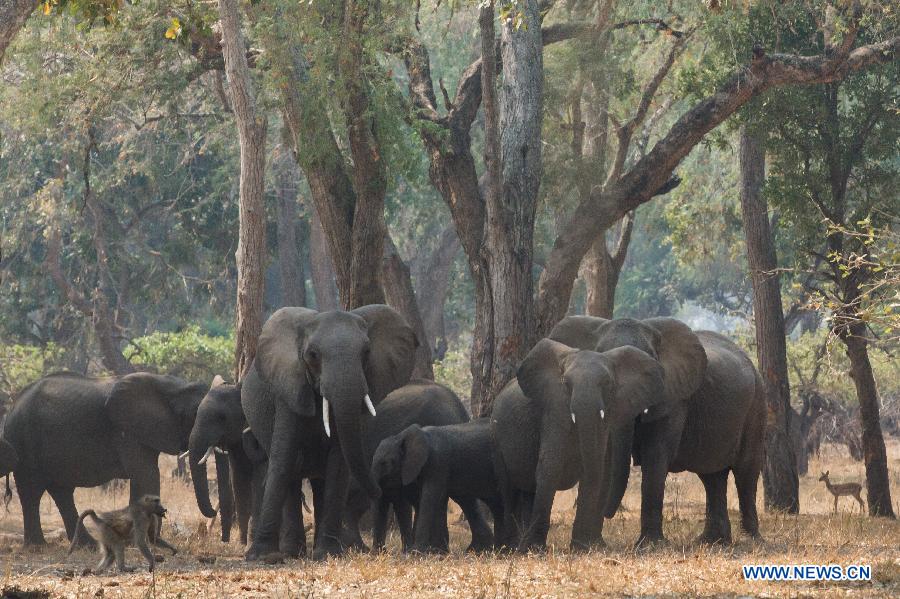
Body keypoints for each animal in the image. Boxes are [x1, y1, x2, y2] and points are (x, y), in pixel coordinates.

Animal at [3, 370, 213, 548]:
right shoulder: (127, 431)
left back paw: (87, 545)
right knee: (32, 490)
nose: (212, 513)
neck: (174, 387)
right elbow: (147, 474)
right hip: (23, 440)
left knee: (61, 492)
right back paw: (38, 546)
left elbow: (145, 475)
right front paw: (149, 542)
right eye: (194, 415)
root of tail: (13, 405)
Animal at [243, 308, 418, 560]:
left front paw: (329, 554)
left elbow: (338, 464)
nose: (378, 490)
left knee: (320, 481)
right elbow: (284, 458)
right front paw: (262, 557)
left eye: (366, 352)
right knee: (293, 473)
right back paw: (292, 553)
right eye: (313, 355)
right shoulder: (289, 390)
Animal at [370, 418, 502, 552]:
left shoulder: (438, 463)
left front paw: (417, 552)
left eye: (385, 463)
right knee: (470, 501)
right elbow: (431, 500)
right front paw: (436, 552)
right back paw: (480, 550)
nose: (379, 551)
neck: (401, 436)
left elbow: (429, 498)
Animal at [492, 338, 668, 552]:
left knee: (528, 492)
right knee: (507, 489)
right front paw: (536, 550)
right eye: (566, 384)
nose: (608, 514)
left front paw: (581, 548)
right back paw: (510, 548)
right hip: (496, 437)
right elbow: (550, 466)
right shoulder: (554, 408)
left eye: (607, 384)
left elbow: (595, 468)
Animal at [548, 318, 768, 548]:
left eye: (648, 367)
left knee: (745, 471)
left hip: (757, 404)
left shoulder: (673, 397)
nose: (608, 515)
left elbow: (655, 455)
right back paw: (712, 541)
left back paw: (750, 540)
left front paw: (648, 546)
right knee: (712, 476)